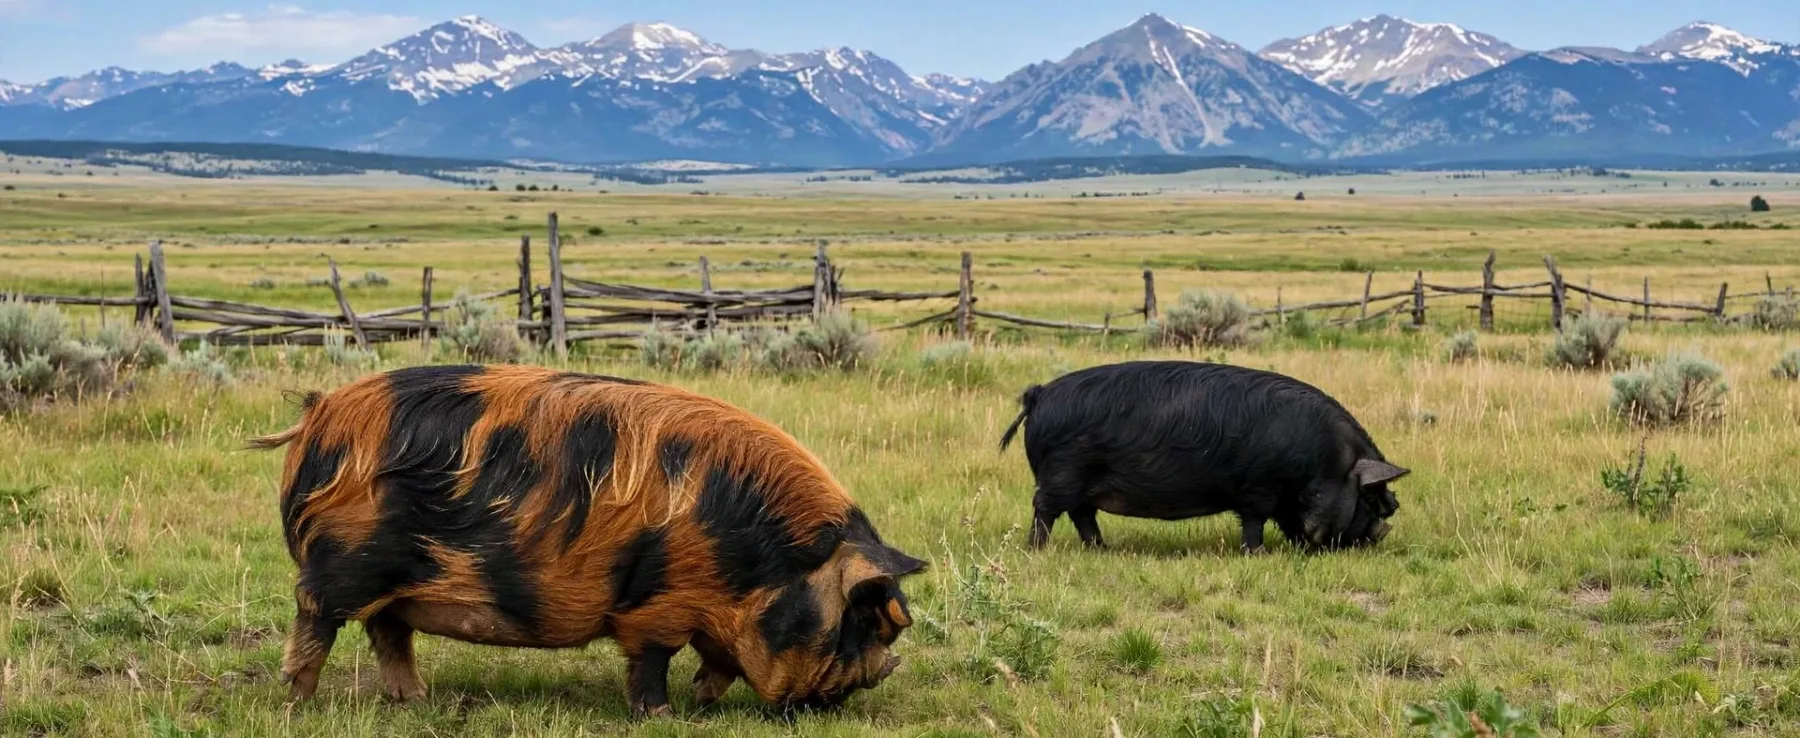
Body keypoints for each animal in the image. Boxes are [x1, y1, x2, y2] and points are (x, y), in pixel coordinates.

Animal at [252, 364, 926, 717]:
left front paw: (703, 702)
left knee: (389, 632)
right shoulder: (658, 607)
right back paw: (300, 702)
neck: (756, 562)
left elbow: (717, 660)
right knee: (316, 618)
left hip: (390, 585)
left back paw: (415, 702)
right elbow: (652, 659)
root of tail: (321, 416)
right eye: (861, 620)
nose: (843, 697)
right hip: (341, 566)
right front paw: (662, 715)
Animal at [999, 360, 1408, 553]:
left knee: (1083, 515)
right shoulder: (1259, 491)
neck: (1325, 461)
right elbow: (1254, 523)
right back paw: (1038, 549)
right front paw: (1258, 553)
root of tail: (1039, 395)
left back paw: (1102, 548)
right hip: (1061, 475)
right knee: (1046, 509)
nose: (1377, 537)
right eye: (1371, 500)